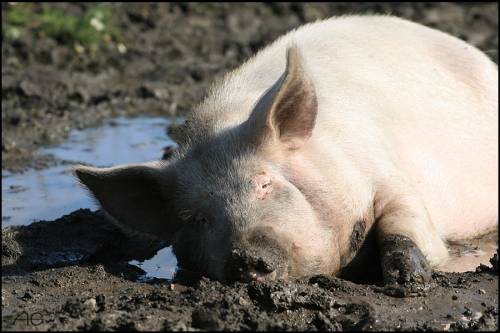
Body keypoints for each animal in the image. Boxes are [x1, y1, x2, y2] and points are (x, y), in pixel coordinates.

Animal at [74, 15, 496, 294]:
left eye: (264, 183)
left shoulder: (387, 175)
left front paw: (407, 284)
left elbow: (403, 221)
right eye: (198, 218)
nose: (245, 256)